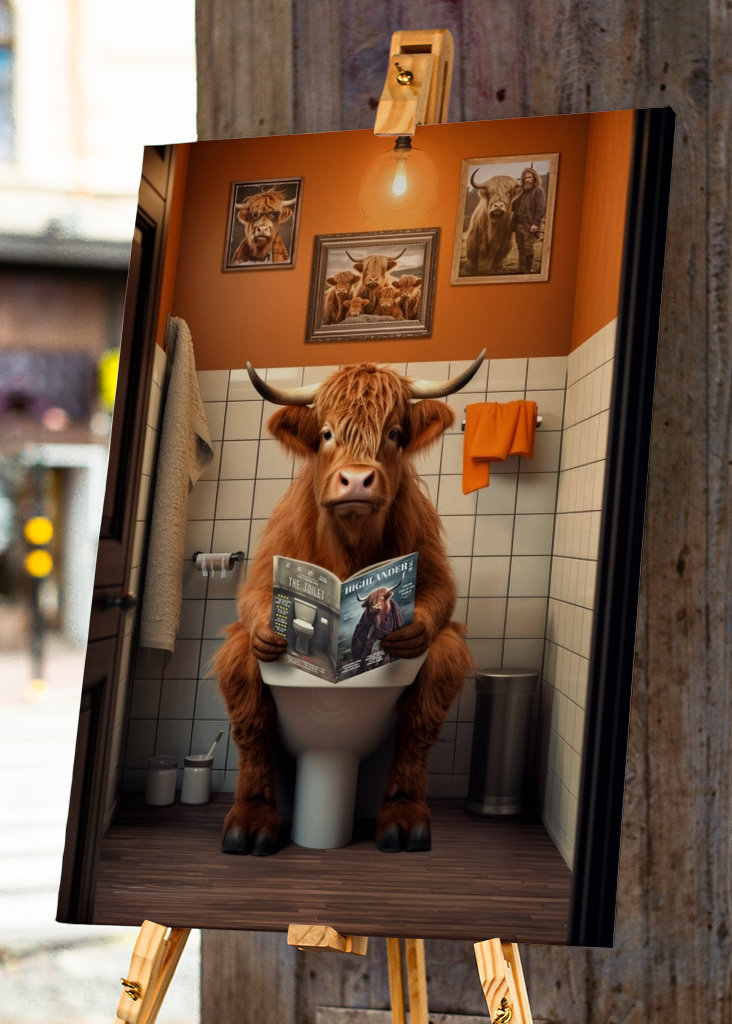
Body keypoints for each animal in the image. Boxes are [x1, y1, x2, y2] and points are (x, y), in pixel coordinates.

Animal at [214, 352, 485, 855]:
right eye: (326, 433)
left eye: (394, 433)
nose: (356, 479)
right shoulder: (274, 553)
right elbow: (253, 596)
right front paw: (268, 633)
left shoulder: (426, 549)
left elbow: (441, 594)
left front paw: (410, 631)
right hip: (241, 666)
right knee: (250, 719)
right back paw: (250, 821)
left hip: (439, 667)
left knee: (421, 720)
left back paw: (404, 819)